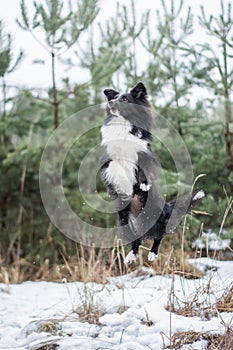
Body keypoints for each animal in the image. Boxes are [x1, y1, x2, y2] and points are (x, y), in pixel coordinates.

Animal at [100, 82, 204, 262]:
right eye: (114, 97)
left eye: (125, 99)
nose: (110, 102)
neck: (124, 125)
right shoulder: (110, 160)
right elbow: (116, 168)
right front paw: (118, 187)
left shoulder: (144, 154)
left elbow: (144, 169)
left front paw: (144, 185)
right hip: (124, 221)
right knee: (137, 240)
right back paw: (131, 256)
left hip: (156, 216)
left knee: (159, 235)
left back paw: (152, 254)